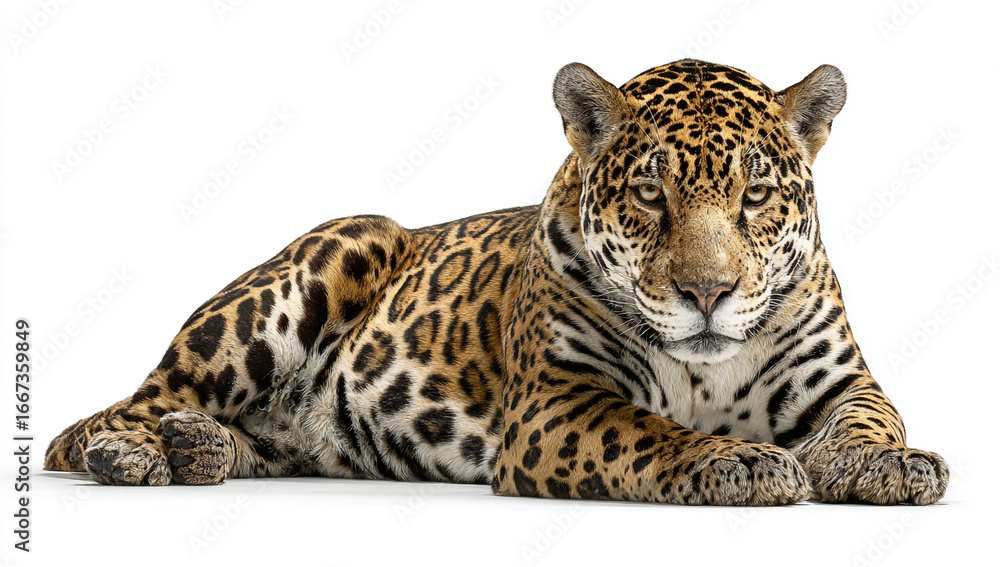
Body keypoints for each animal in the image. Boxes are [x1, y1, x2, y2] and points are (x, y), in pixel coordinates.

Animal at [45, 59, 949, 505]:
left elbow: (871, 419)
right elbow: (656, 432)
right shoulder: (557, 403)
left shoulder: (844, 380)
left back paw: (197, 447)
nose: (707, 294)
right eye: (650, 194)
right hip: (312, 268)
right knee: (123, 410)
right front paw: (745, 461)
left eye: (754, 196)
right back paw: (133, 452)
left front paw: (888, 466)